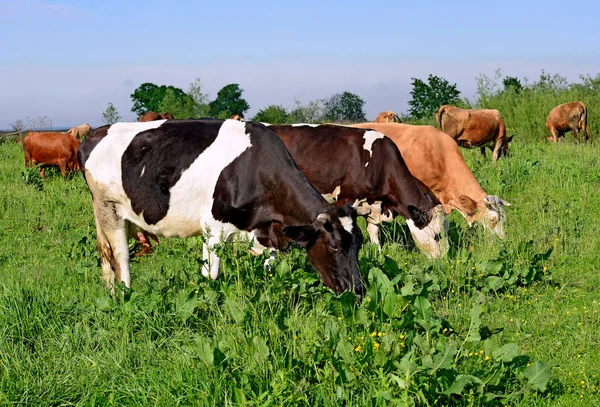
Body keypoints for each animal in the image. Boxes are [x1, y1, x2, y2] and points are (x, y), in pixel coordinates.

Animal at [77, 119, 368, 298]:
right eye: (334, 246)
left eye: (359, 244)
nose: (359, 291)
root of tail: (95, 134)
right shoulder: (213, 229)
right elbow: (211, 276)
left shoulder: (267, 231)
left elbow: (269, 269)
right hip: (109, 209)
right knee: (120, 258)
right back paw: (124, 296)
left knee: (105, 256)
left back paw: (110, 295)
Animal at [270, 122, 448, 260]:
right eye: (437, 236)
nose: (444, 260)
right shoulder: (346, 198)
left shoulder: (374, 205)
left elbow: (374, 232)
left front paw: (378, 254)